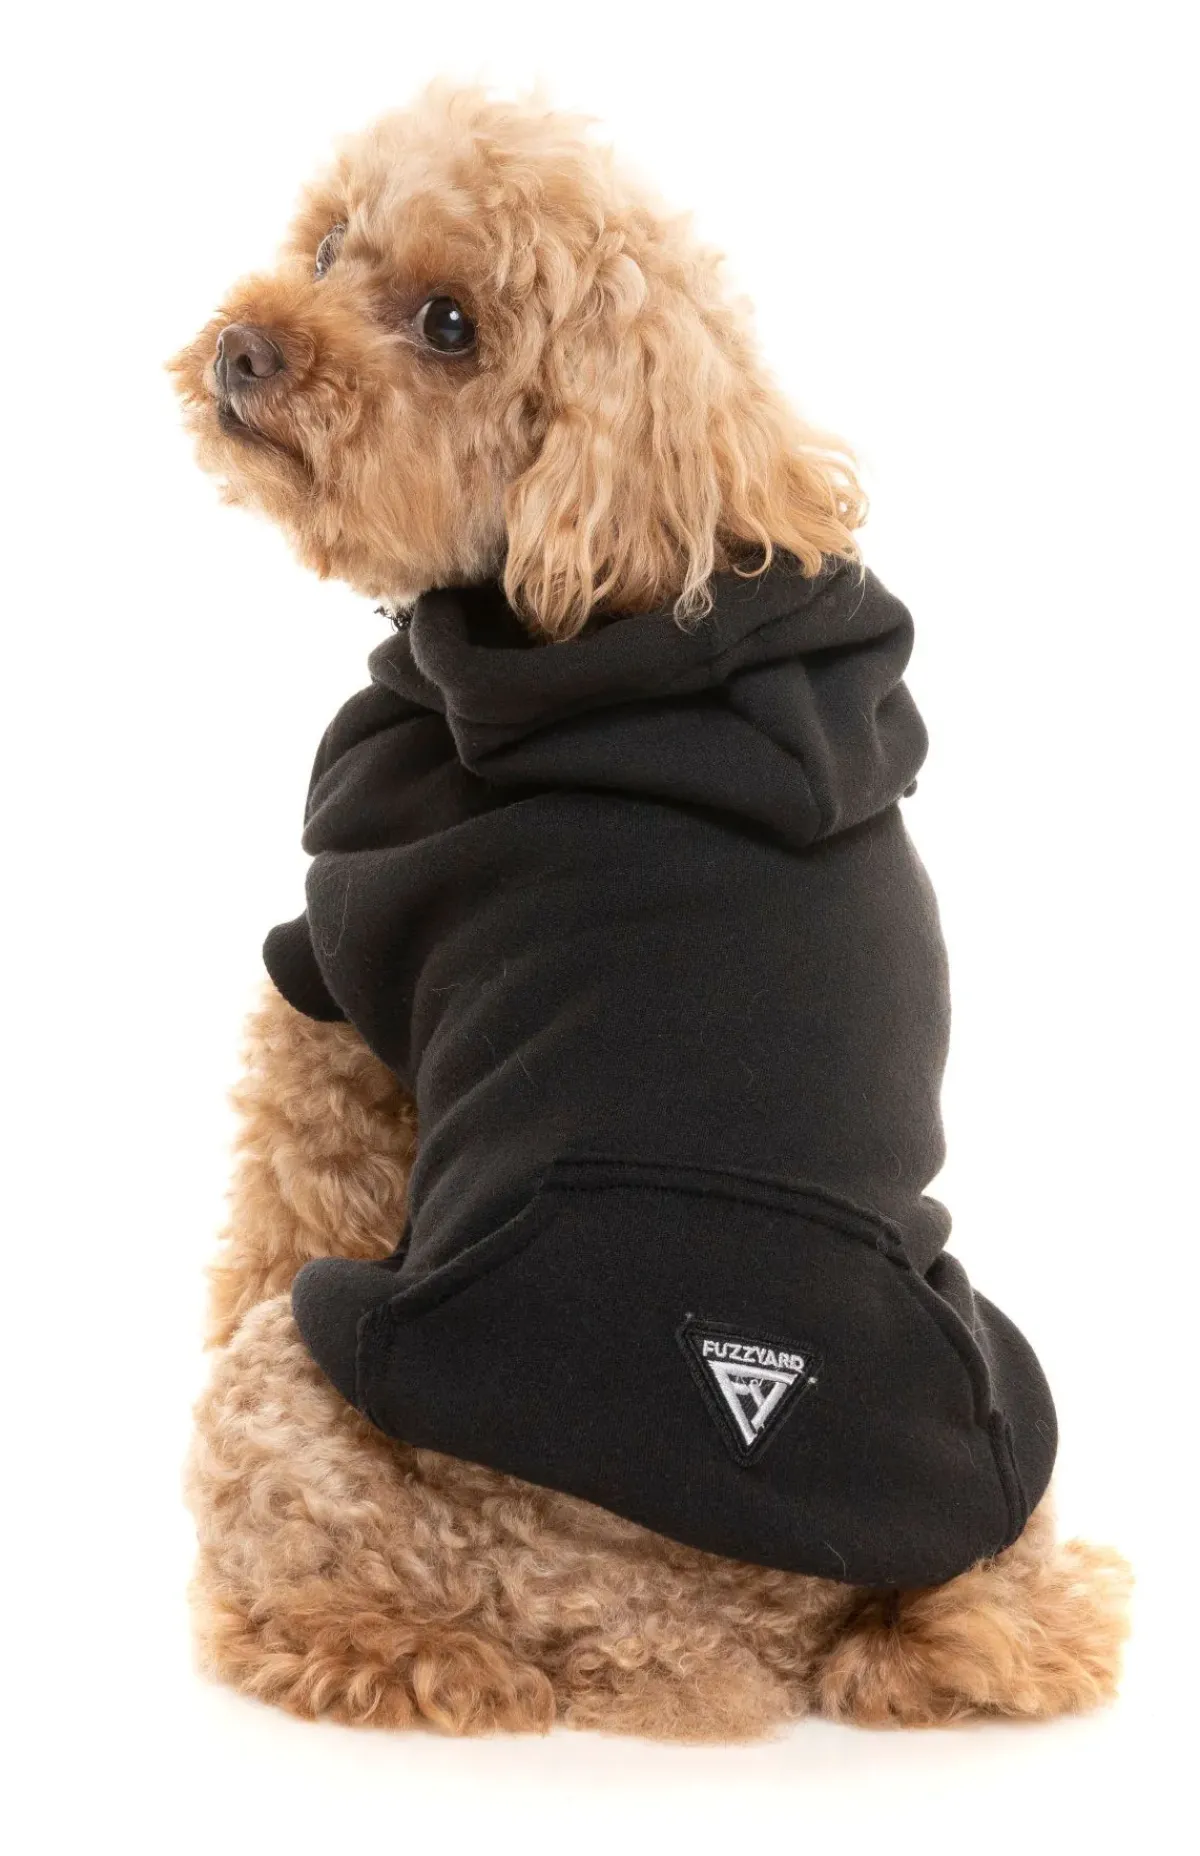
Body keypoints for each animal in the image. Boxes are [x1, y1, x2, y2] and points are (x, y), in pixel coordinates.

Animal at [171, 85, 1130, 1738]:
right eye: (333, 244)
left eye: (450, 326)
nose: (247, 349)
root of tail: (703, 1646)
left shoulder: (334, 976)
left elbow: (274, 1198)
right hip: (1011, 1425)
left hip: (299, 1377)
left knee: (393, 1615)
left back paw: (353, 1644)